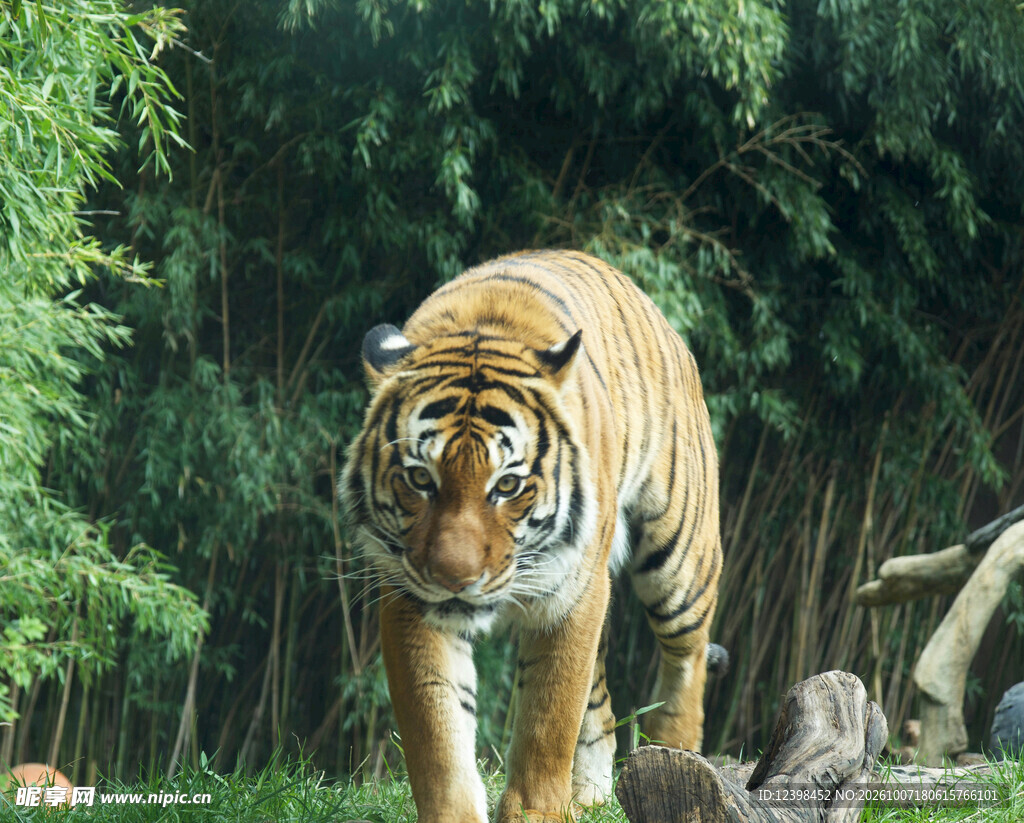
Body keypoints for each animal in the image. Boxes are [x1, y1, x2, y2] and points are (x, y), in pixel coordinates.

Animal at [341, 250, 722, 823]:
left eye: (507, 485)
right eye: (420, 479)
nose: (455, 579)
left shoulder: (574, 592)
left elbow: (550, 713)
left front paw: (538, 811)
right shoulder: (409, 599)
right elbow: (436, 729)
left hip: (678, 560)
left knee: (687, 660)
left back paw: (674, 759)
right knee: (601, 706)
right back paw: (591, 795)